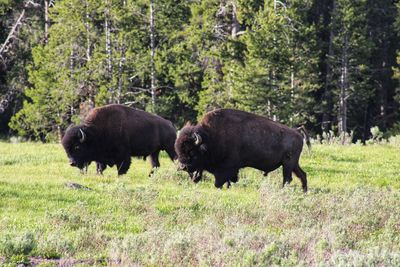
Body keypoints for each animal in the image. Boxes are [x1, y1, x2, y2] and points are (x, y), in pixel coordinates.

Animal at [174, 109, 310, 193]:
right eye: (179, 150)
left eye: (192, 151)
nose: (183, 166)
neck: (210, 137)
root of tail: (297, 131)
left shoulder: (227, 168)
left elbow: (220, 182)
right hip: (293, 164)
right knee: (302, 175)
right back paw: (304, 191)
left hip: (288, 163)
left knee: (287, 178)